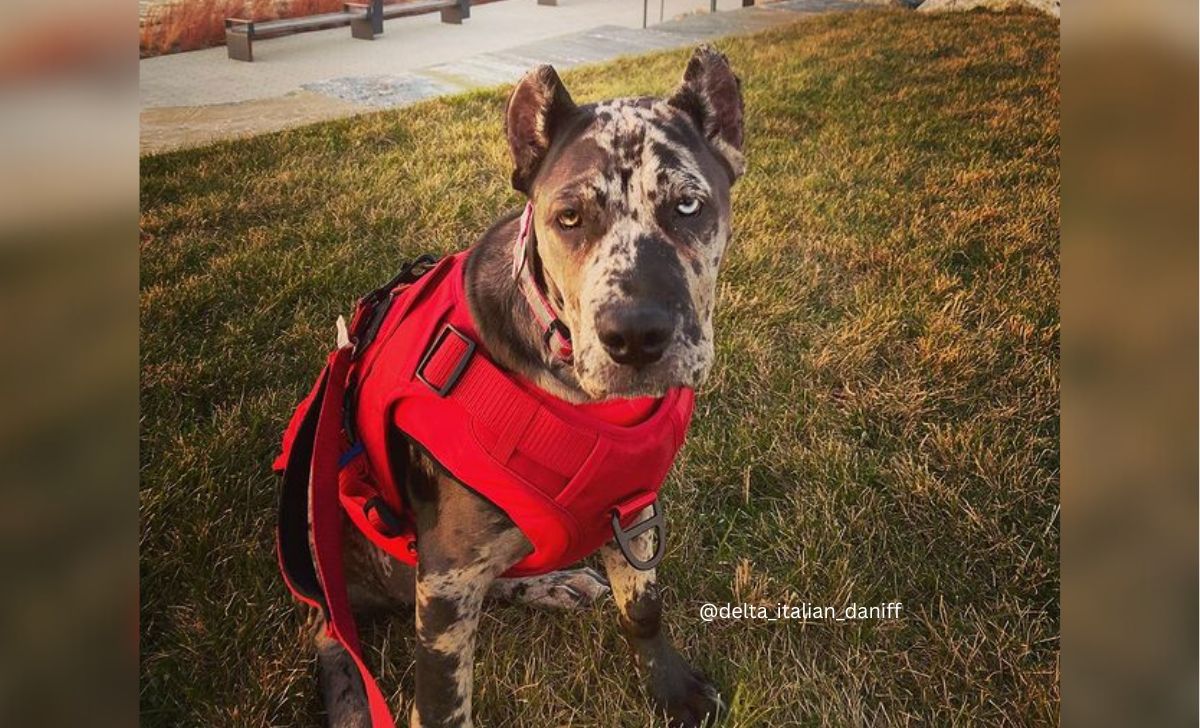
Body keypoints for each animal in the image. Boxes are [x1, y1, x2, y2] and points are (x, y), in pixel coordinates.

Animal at [307, 47, 739, 728]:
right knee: (334, 635)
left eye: (688, 206)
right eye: (569, 217)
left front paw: (671, 691)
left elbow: (643, 609)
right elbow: (443, 701)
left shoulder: (633, 510)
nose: (635, 336)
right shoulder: (448, 578)